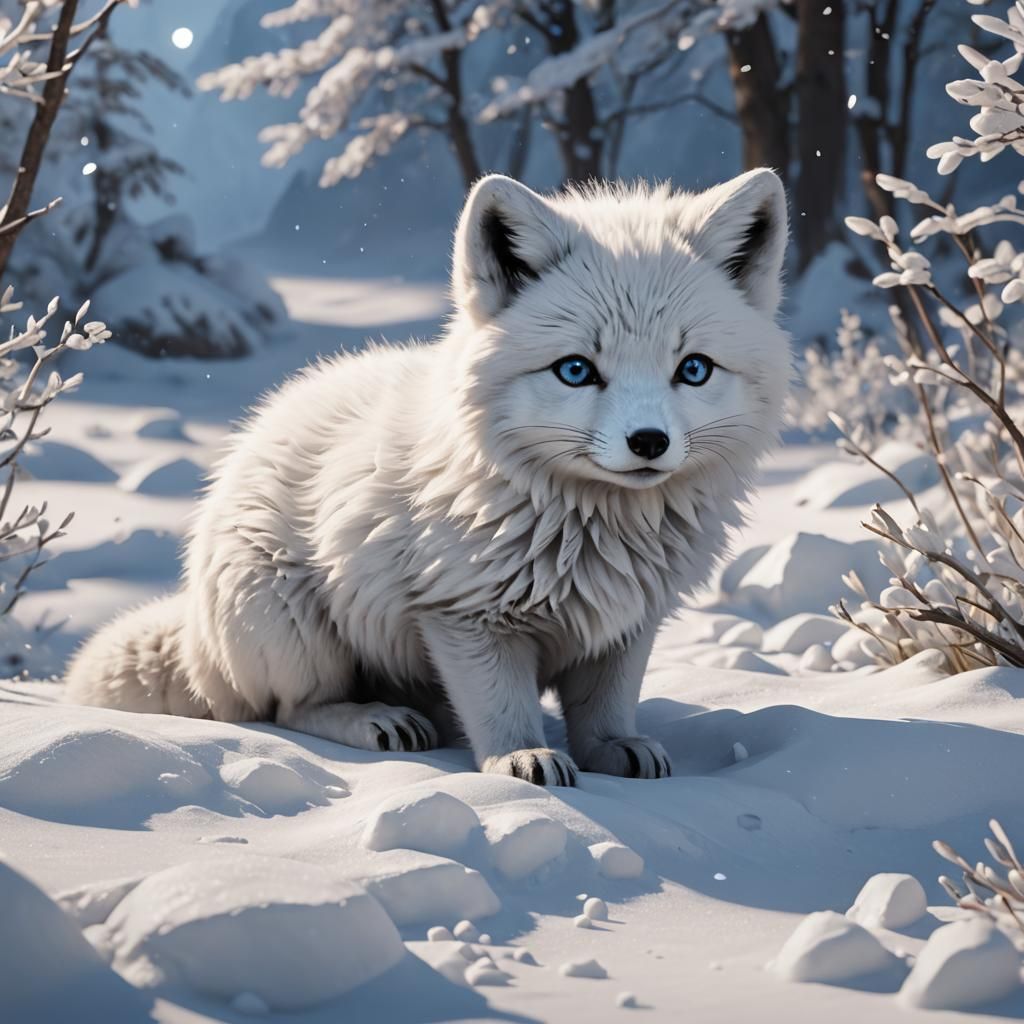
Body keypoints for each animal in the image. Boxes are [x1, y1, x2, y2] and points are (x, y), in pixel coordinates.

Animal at [66, 169, 791, 786]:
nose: (649, 443)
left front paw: (615, 750)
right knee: (287, 711)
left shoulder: (628, 625)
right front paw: (521, 760)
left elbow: (605, 710)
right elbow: (504, 712)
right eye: (576, 370)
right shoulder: (466, 619)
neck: (589, 525)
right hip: (291, 623)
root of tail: (194, 635)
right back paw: (379, 721)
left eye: (692, 369)